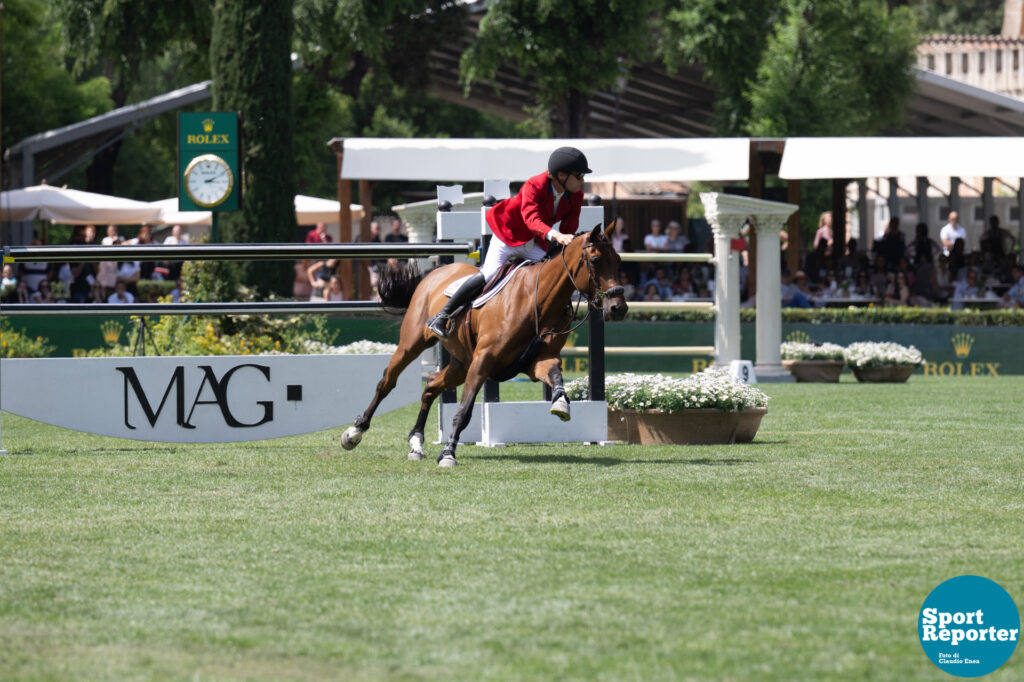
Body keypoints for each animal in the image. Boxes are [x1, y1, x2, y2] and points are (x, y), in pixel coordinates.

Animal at [342, 220, 622, 464]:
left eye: (619, 261)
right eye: (596, 261)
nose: (618, 308)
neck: (539, 301)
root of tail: (435, 272)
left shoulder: (536, 362)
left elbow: (554, 375)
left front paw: (561, 403)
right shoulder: (483, 361)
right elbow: (463, 412)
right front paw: (448, 454)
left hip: (460, 364)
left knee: (431, 385)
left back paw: (416, 443)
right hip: (413, 345)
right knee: (387, 382)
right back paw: (355, 432)